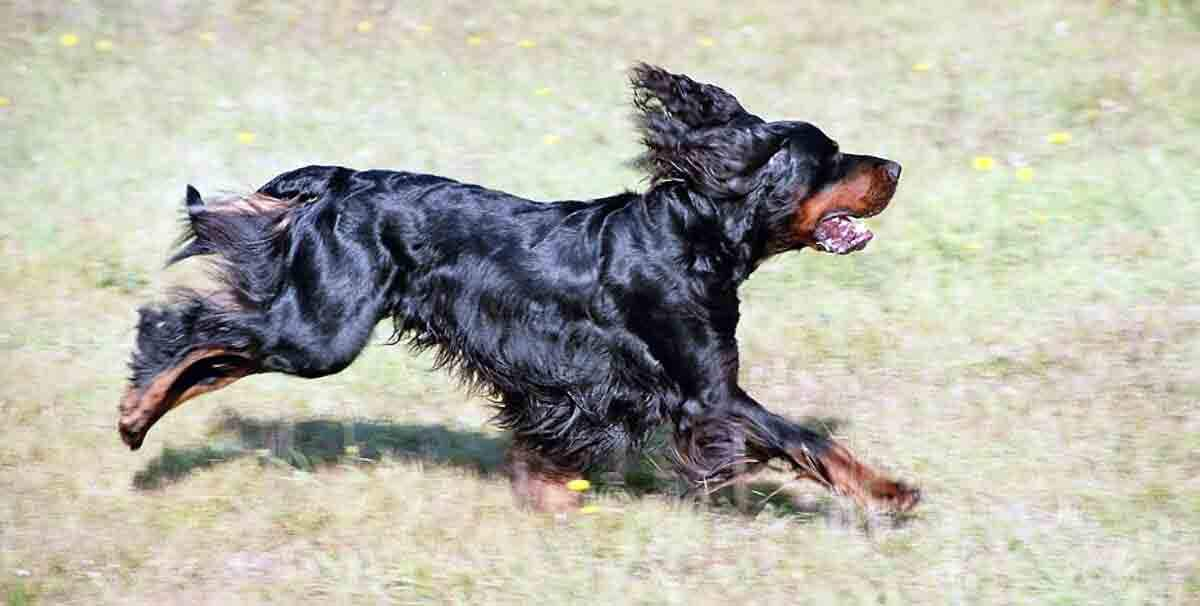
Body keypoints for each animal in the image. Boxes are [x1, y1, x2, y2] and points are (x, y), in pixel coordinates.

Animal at [119, 65, 916, 511]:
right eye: (831, 157)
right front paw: (891, 491)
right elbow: (806, 438)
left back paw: (141, 420)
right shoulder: (709, 393)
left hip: (315, 324)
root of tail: (339, 182)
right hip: (322, 331)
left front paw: (547, 496)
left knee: (218, 355)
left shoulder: (593, 388)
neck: (693, 233)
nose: (897, 167)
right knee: (186, 330)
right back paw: (133, 413)